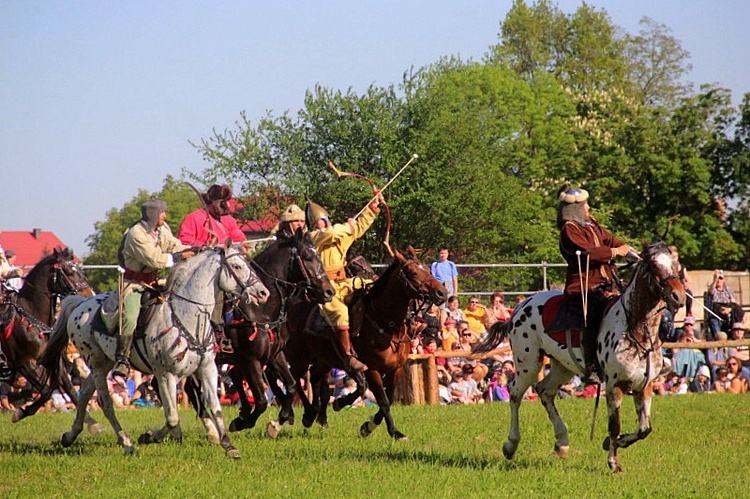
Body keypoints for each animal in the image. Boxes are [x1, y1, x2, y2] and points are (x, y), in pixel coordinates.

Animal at [0, 248, 95, 424]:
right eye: (69, 272)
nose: (90, 295)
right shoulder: (24, 364)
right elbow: (46, 392)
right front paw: (21, 412)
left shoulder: (54, 362)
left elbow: (70, 390)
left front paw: (92, 423)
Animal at [40, 242, 270, 458]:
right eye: (237, 266)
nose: (263, 292)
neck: (186, 315)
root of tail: (80, 303)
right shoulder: (165, 374)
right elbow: (172, 417)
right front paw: (149, 437)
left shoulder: (207, 369)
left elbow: (215, 407)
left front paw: (228, 445)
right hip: (97, 363)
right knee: (105, 403)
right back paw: (127, 443)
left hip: (104, 364)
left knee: (85, 393)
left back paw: (72, 435)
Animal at [280, 248, 446, 440]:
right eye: (413, 273)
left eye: (427, 270)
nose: (442, 292)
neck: (384, 323)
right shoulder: (371, 369)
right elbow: (381, 399)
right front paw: (391, 431)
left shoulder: (395, 369)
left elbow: (387, 397)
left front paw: (370, 425)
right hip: (299, 357)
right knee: (295, 380)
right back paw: (303, 414)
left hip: (324, 359)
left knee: (315, 378)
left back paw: (316, 414)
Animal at [476, 241, 688, 472]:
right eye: (653, 265)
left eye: (675, 264)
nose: (678, 297)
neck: (634, 328)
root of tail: (519, 307)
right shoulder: (614, 386)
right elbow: (615, 426)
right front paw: (613, 462)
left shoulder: (645, 385)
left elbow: (644, 429)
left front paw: (613, 443)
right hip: (528, 364)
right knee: (515, 395)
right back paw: (511, 445)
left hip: (562, 366)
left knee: (545, 391)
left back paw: (562, 443)